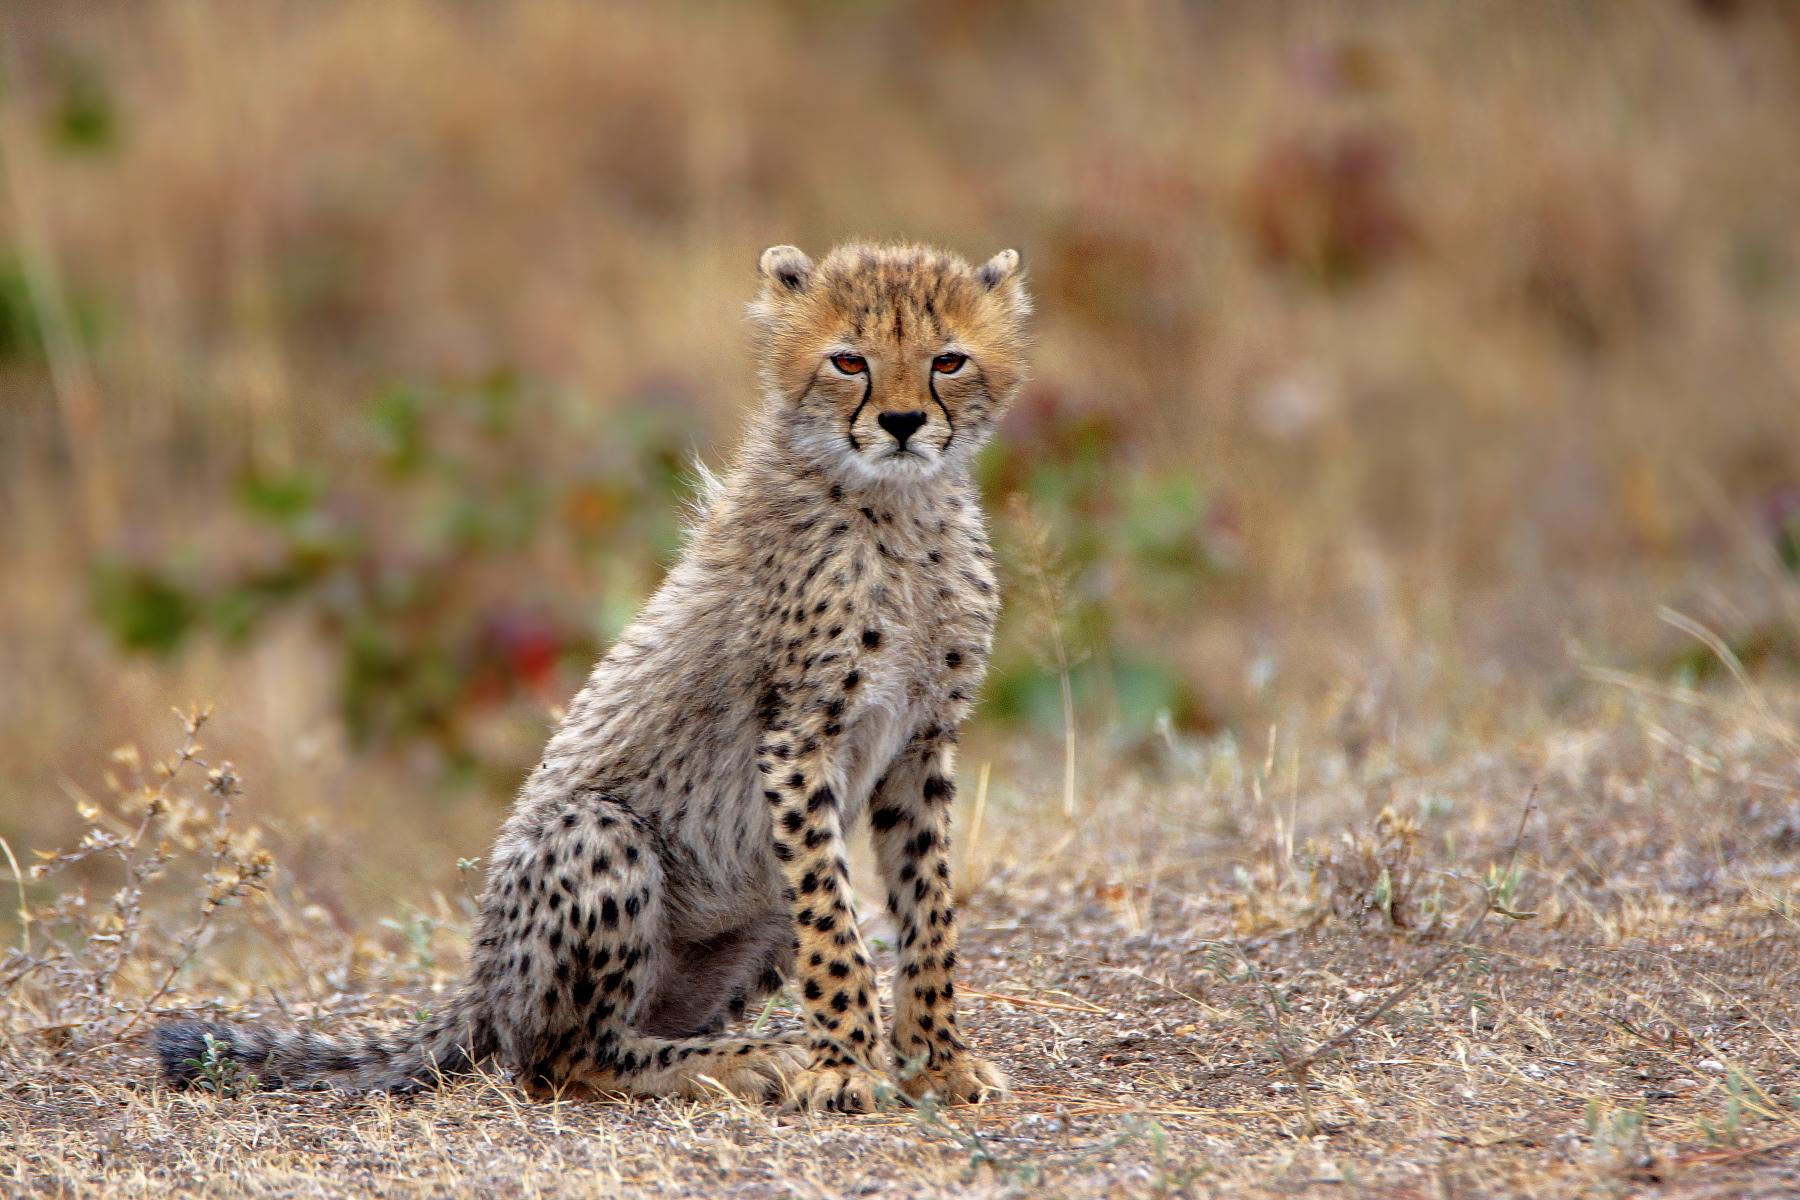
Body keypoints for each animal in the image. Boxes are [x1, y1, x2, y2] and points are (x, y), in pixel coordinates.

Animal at [162, 244, 1036, 1115]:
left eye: (948, 360)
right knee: (562, 1058)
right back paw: (749, 1059)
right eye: (849, 361)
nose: (901, 424)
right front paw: (847, 1067)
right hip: (597, 833)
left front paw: (937, 1061)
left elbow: (928, 906)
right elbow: (835, 925)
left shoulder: (922, 739)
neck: (899, 509)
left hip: (755, 907)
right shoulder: (799, 736)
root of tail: (482, 979)